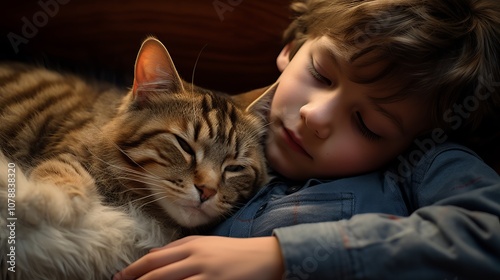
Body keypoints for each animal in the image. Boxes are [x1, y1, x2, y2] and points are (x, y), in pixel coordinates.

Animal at [0, 37, 270, 280]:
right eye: (184, 146)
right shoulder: (68, 152)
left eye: (235, 167)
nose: (207, 191)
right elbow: (65, 179)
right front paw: (49, 203)